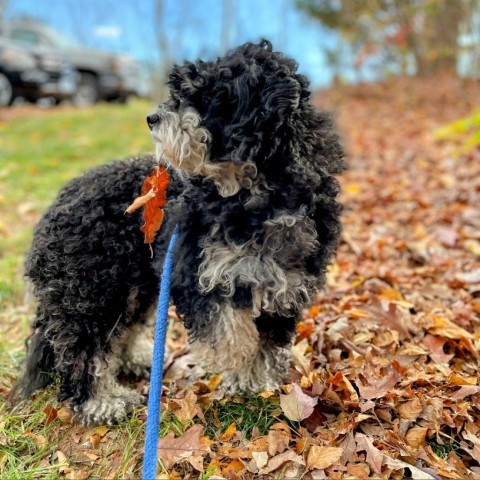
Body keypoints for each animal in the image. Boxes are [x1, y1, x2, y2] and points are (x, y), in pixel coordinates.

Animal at [15, 40, 344, 424]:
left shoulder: (285, 283)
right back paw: (100, 402)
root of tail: (54, 207)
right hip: (91, 291)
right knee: (80, 350)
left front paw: (257, 379)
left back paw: (138, 361)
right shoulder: (201, 276)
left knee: (119, 332)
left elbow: (269, 341)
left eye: (205, 96)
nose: (151, 119)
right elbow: (231, 335)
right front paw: (237, 373)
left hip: (134, 286)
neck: (256, 197)